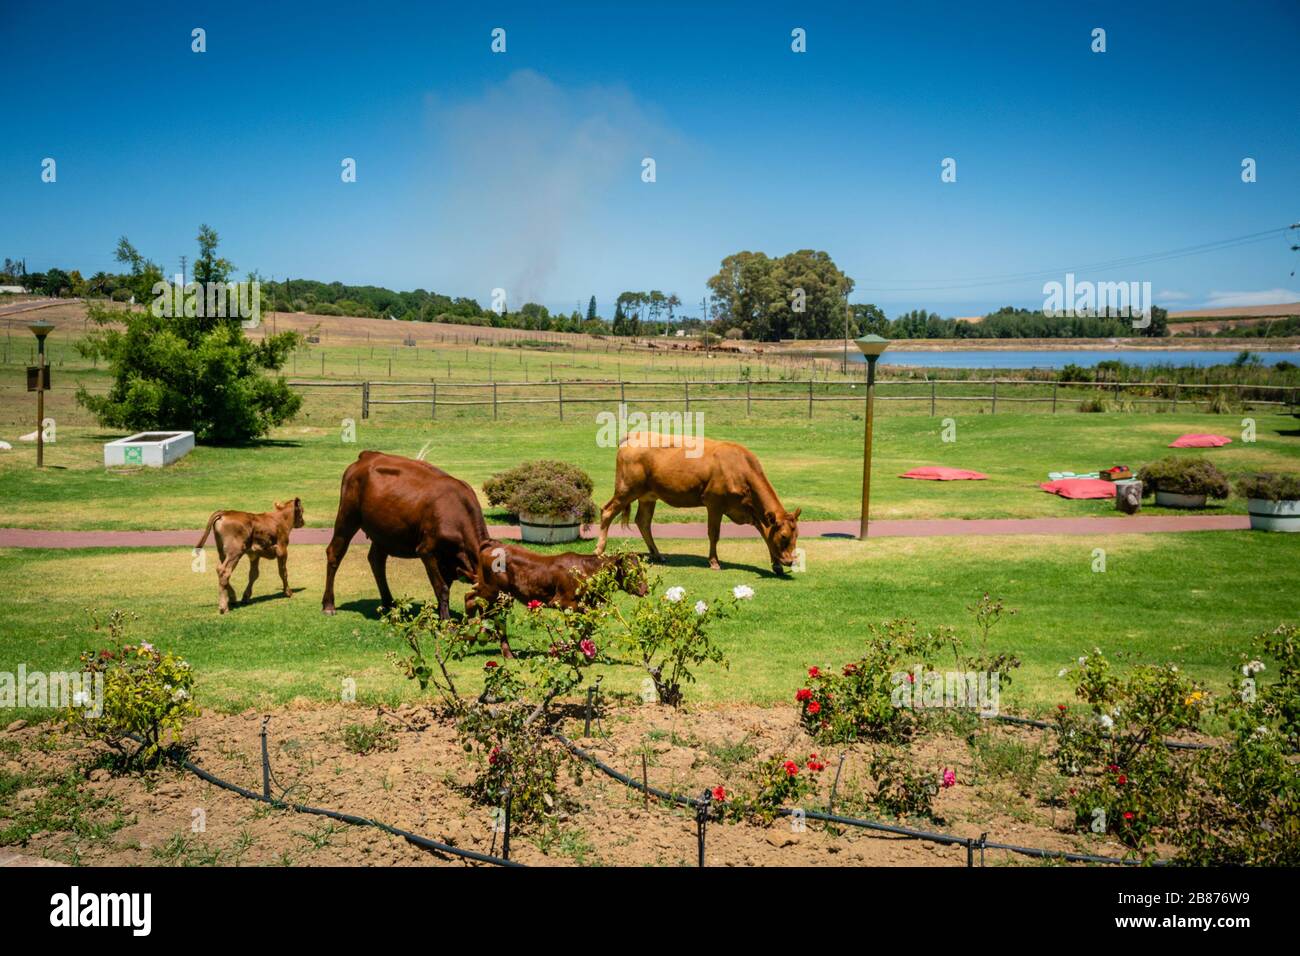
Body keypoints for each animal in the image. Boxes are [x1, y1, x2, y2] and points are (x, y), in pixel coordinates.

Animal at [322, 450, 488, 616]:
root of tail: (369, 455)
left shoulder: (448, 561)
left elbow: (445, 585)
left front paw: (439, 614)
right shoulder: (426, 550)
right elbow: (442, 588)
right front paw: (446, 620)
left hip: (383, 531)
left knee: (376, 560)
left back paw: (389, 603)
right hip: (348, 515)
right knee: (335, 552)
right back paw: (329, 605)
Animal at [595, 434, 795, 574]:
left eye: (796, 535)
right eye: (784, 536)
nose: (790, 561)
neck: (739, 468)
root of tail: (634, 436)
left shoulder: (748, 509)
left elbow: (765, 533)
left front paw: (776, 565)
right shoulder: (714, 503)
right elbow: (714, 534)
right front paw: (714, 562)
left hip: (648, 496)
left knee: (643, 521)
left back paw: (657, 554)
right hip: (626, 490)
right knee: (607, 512)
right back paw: (599, 550)